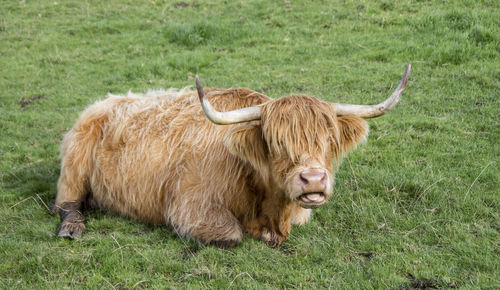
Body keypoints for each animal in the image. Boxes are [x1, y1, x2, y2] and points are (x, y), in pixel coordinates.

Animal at [54, 64, 410, 247]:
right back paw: (72, 228)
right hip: (73, 167)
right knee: (67, 203)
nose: (313, 181)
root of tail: (105, 102)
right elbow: (232, 235)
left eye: (329, 140)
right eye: (276, 142)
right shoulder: (190, 208)